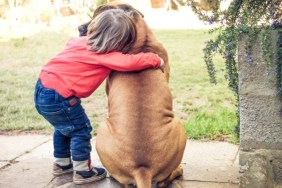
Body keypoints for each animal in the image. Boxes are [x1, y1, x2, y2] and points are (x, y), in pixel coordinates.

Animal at [86, 3, 187, 188]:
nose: (81, 28)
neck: (140, 44)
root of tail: (142, 169)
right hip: (179, 125)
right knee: (164, 180)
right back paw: (178, 170)